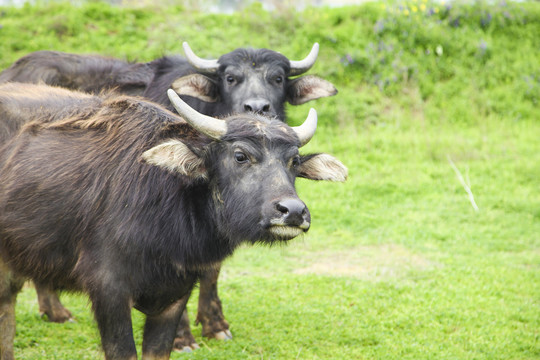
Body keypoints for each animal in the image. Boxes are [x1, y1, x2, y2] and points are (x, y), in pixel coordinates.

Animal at [0, 42, 338, 348]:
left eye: (294, 161)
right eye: (240, 156)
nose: (292, 211)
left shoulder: (185, 275)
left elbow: (211, 273)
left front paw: (215, 325)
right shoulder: (111, 291)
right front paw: (185, 337)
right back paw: (56, 310)